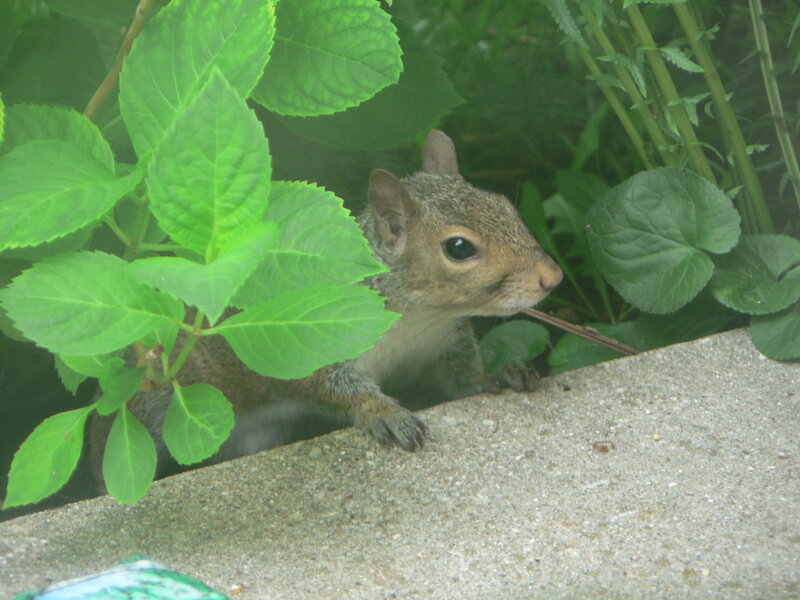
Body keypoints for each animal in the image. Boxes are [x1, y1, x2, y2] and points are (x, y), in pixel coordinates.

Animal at [88, 130, 562, 484]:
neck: (419, 317)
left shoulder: (444, 344)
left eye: (504, 204)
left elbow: (464, 381)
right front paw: (384, 412)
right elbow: (331, 388)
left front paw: (500, 376)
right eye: (459, 248)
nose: (552, 276)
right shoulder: (311, 348)